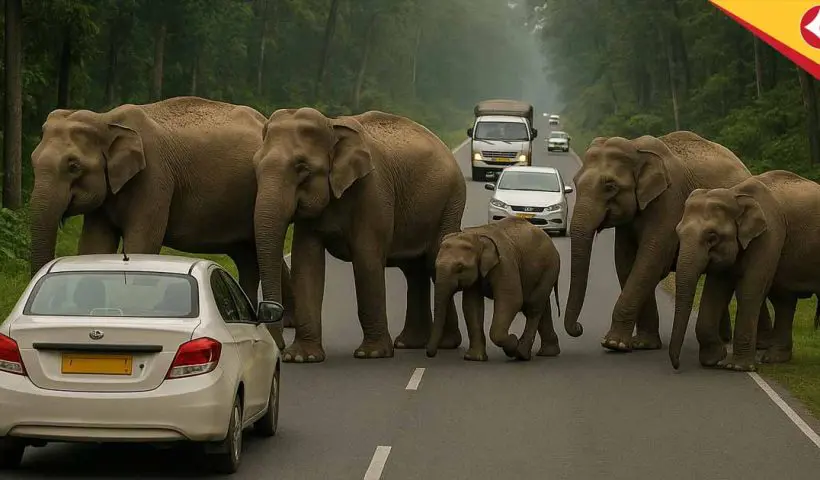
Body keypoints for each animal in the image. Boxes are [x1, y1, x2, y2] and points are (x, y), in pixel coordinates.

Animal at [29, 96, 296, 346]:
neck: (107, 120)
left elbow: (142, 242)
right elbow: (94, 246)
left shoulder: (154, 177)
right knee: (250, 257)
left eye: (73, 166)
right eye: (32, 160)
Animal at [253, 107, 467, 363]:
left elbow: (366, 259)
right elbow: (306, 262)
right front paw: (301, 358)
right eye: (255, 166)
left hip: (450, 203)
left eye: (302, 168)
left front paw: (371, 354)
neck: (332, 125)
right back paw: (410, 343)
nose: (279, 346)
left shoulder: (373, 190)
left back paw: (445, 344)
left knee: (434, 262)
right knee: (414, 270)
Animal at [426, 217, 562, 361]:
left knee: (533, 307)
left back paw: (522, 353)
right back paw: (548, 352)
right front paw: (474, 358)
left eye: (460, 268)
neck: (477, 236)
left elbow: (511, 300)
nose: (430, 354)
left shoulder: (505, 262)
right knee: (542, 307)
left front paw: (513, 344)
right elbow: (471, 305)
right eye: (435, 266)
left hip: (550, 267)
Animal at [562, 131, 772, 352]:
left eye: (610, 186)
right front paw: (643, 344)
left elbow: (650, 261)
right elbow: (626, 263)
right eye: (575, 182)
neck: (636, 148)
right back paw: (724, 339)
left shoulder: (670, 201)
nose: (579, 328)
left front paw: (613, 344)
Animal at [669, 170, 820, 371]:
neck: (735, 195)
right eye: (678, 233)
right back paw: (774, 358)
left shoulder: (770, 233)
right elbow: (714, 291)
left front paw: (737, 367)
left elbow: (749, 290)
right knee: (783, 300)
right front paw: (714, 360)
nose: (676, 365)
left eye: (712, 237)